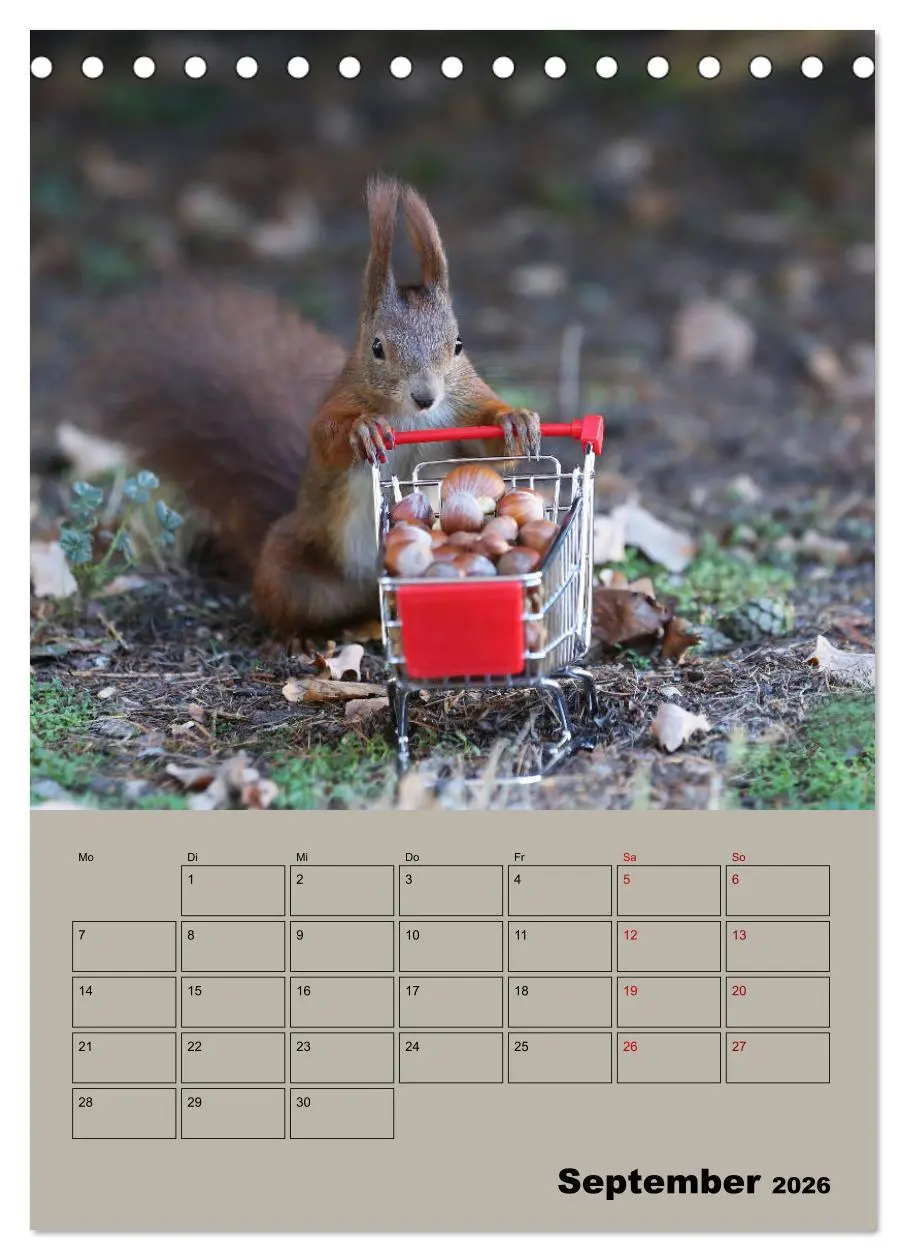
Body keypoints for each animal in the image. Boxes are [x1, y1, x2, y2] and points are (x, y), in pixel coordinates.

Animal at [86, 176, 542, 637]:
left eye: (458, 345)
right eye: (377, 347)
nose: (425, 396)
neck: (415, 418)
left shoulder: (463, 405)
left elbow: (489, 453)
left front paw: (515, 421)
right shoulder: (340, 400)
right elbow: (327, 439)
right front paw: (364, 429)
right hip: (289, 566)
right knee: (282, 608)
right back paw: (295, 641)